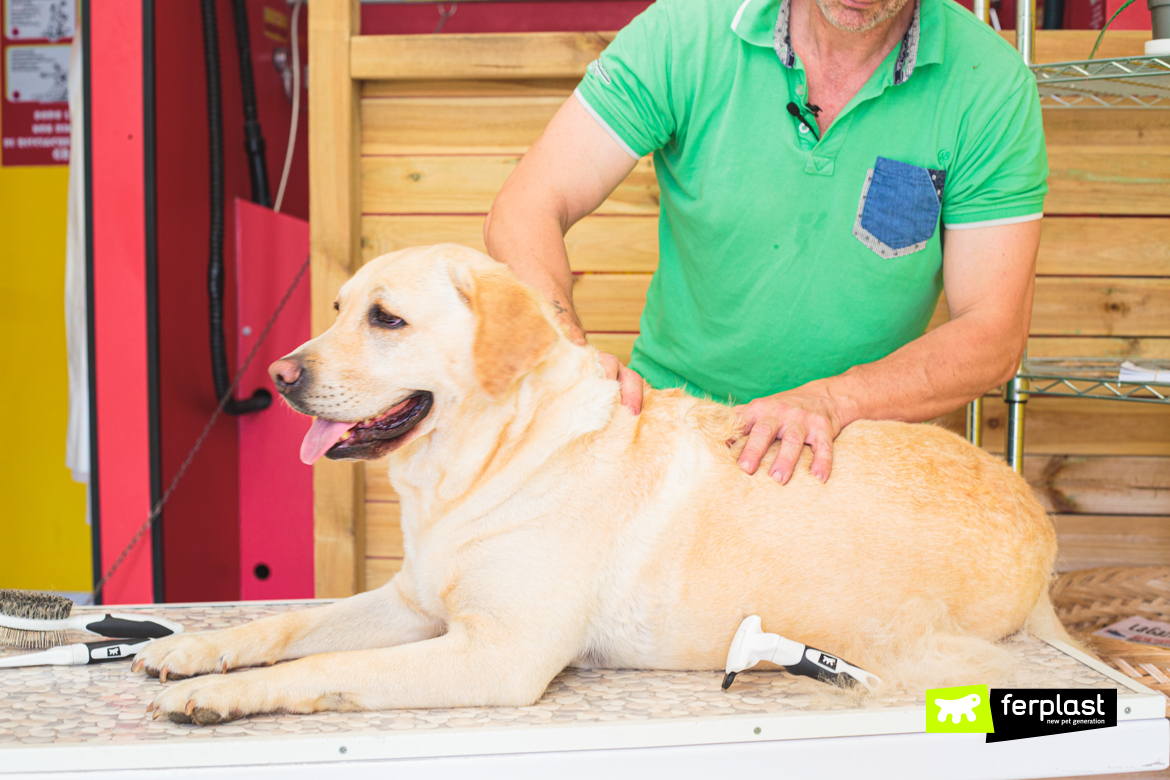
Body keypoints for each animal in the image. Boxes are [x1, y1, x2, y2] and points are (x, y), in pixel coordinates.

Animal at [136, 244, 1071, 725]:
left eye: (387, 319)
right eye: (335, 308)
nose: (278, 375)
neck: (484, 464)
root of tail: (1039, 519)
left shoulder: (499, 653)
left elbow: (321, 666)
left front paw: (219, 695)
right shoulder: (411, 603)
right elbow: (292, 625)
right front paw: (194, 652)